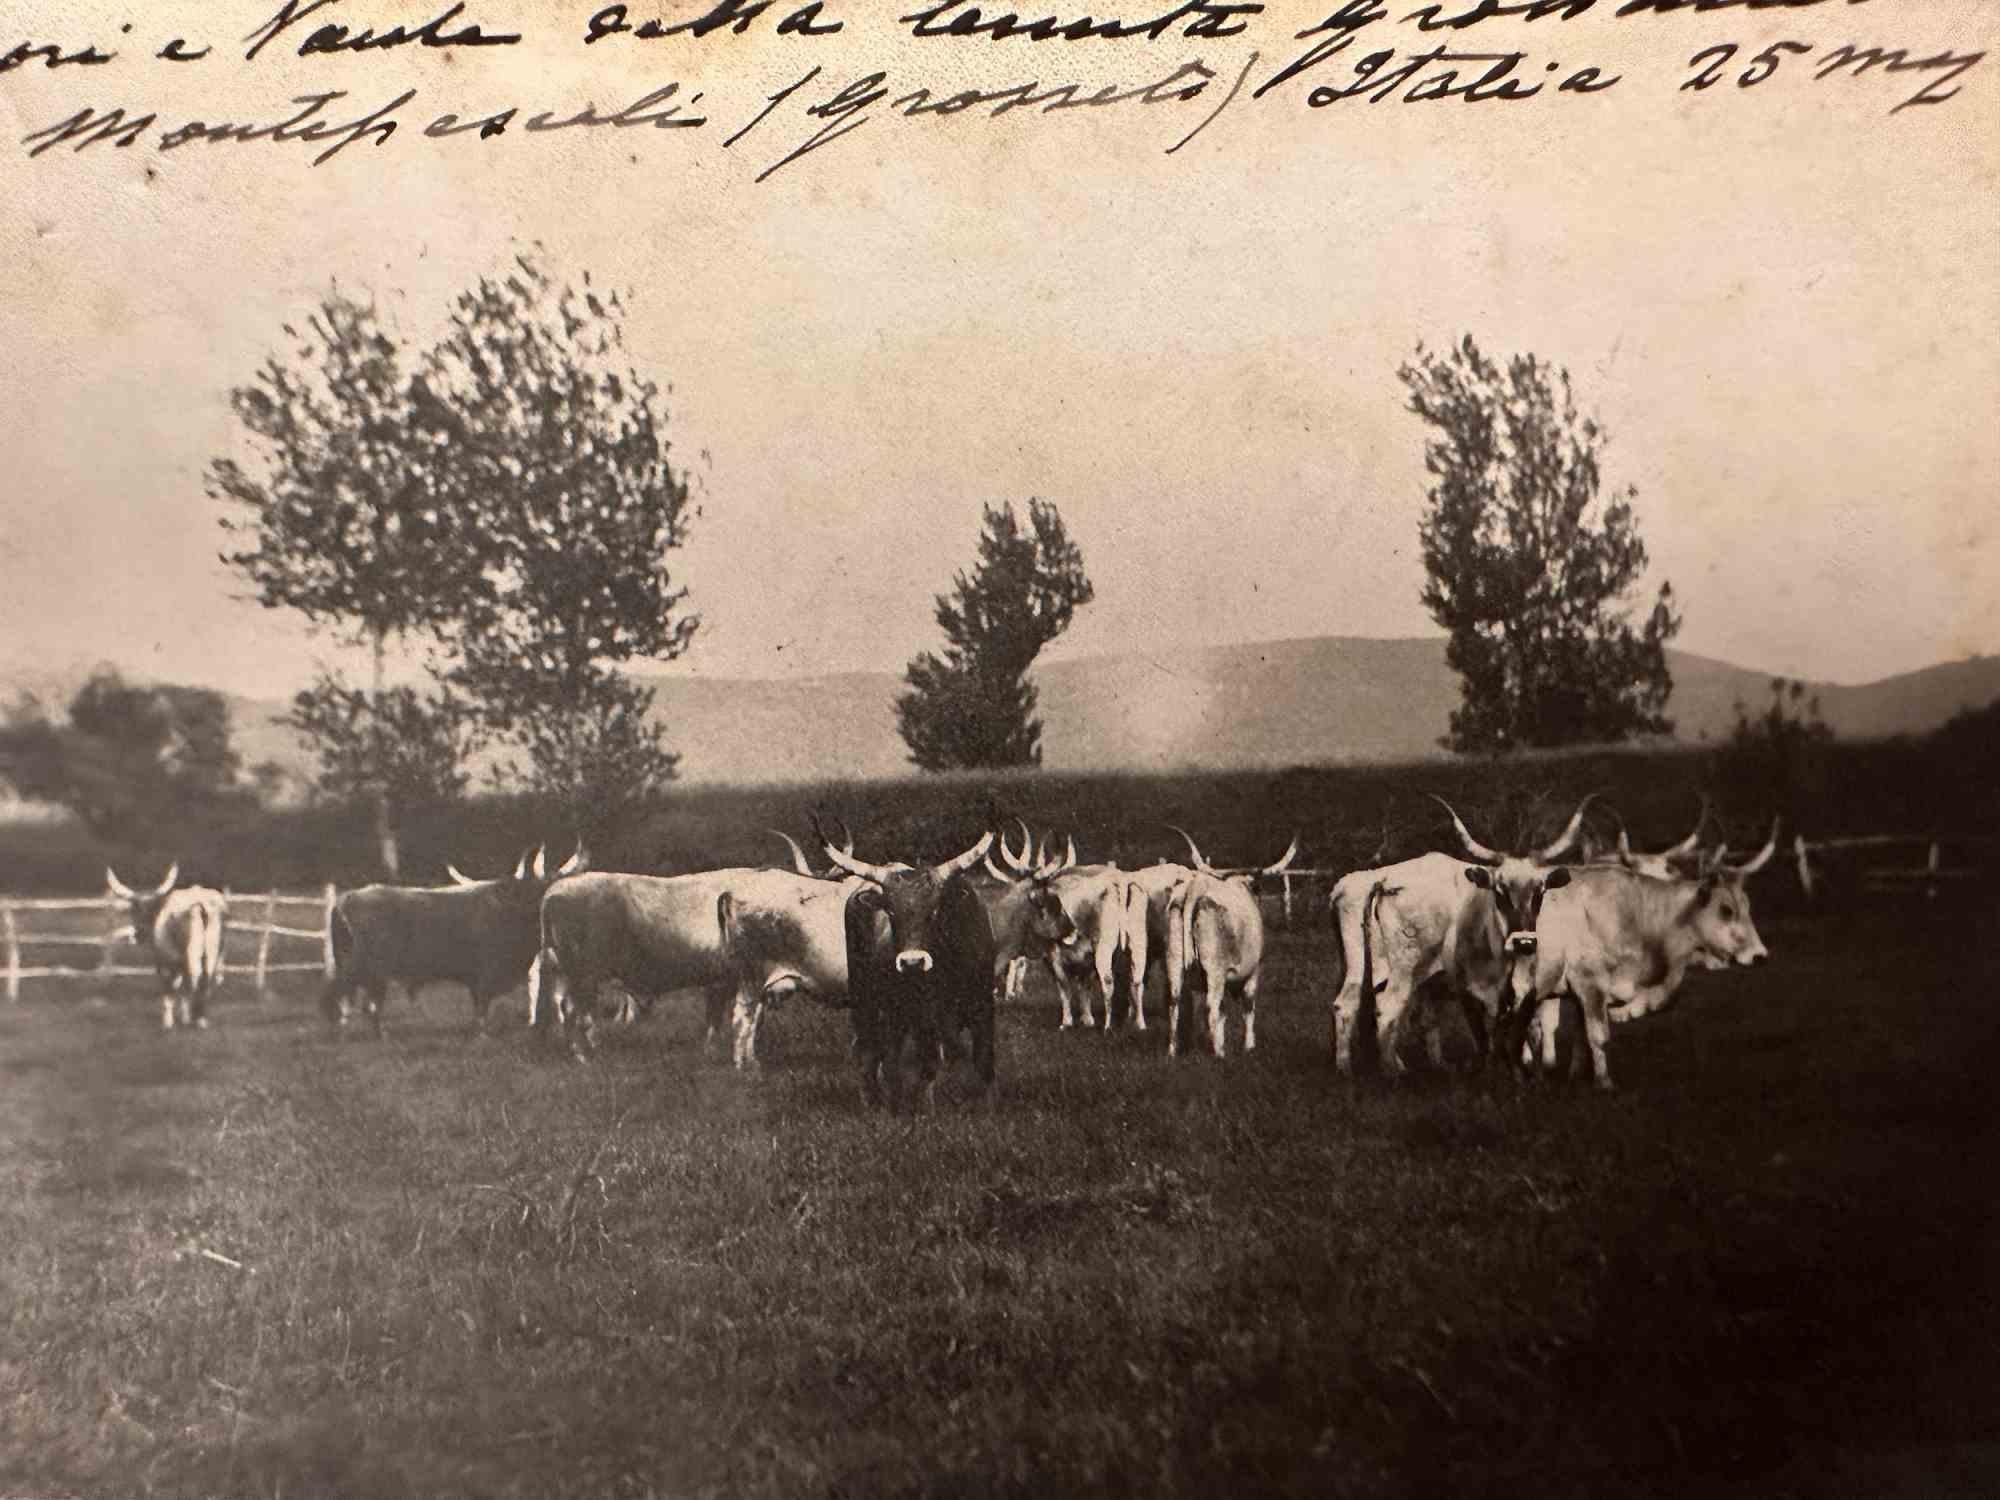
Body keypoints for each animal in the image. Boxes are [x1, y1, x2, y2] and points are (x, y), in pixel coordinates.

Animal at [108, 868, 228, 1032]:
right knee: (204, 982)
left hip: (190, 956)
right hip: (212, 955)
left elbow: (169, 990)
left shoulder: (164, 961)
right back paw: (200, 1019)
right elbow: (182, 990)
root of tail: (199, 903)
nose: (137, 935)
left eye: (134, 911)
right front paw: (184, 1017)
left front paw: (168, 1022)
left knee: (192, 981)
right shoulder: (180, 964)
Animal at [816, 824, 996, 1120]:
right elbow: (929, 1063)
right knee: (871, 1053)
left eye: (934, 910)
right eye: (891, 912)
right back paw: (879, 1104)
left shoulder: (983, 1005)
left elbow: (982, 1059)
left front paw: (984, 1108)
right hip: (867, 1000)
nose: (912, 962)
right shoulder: (924, 1016)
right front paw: (927, 1111)